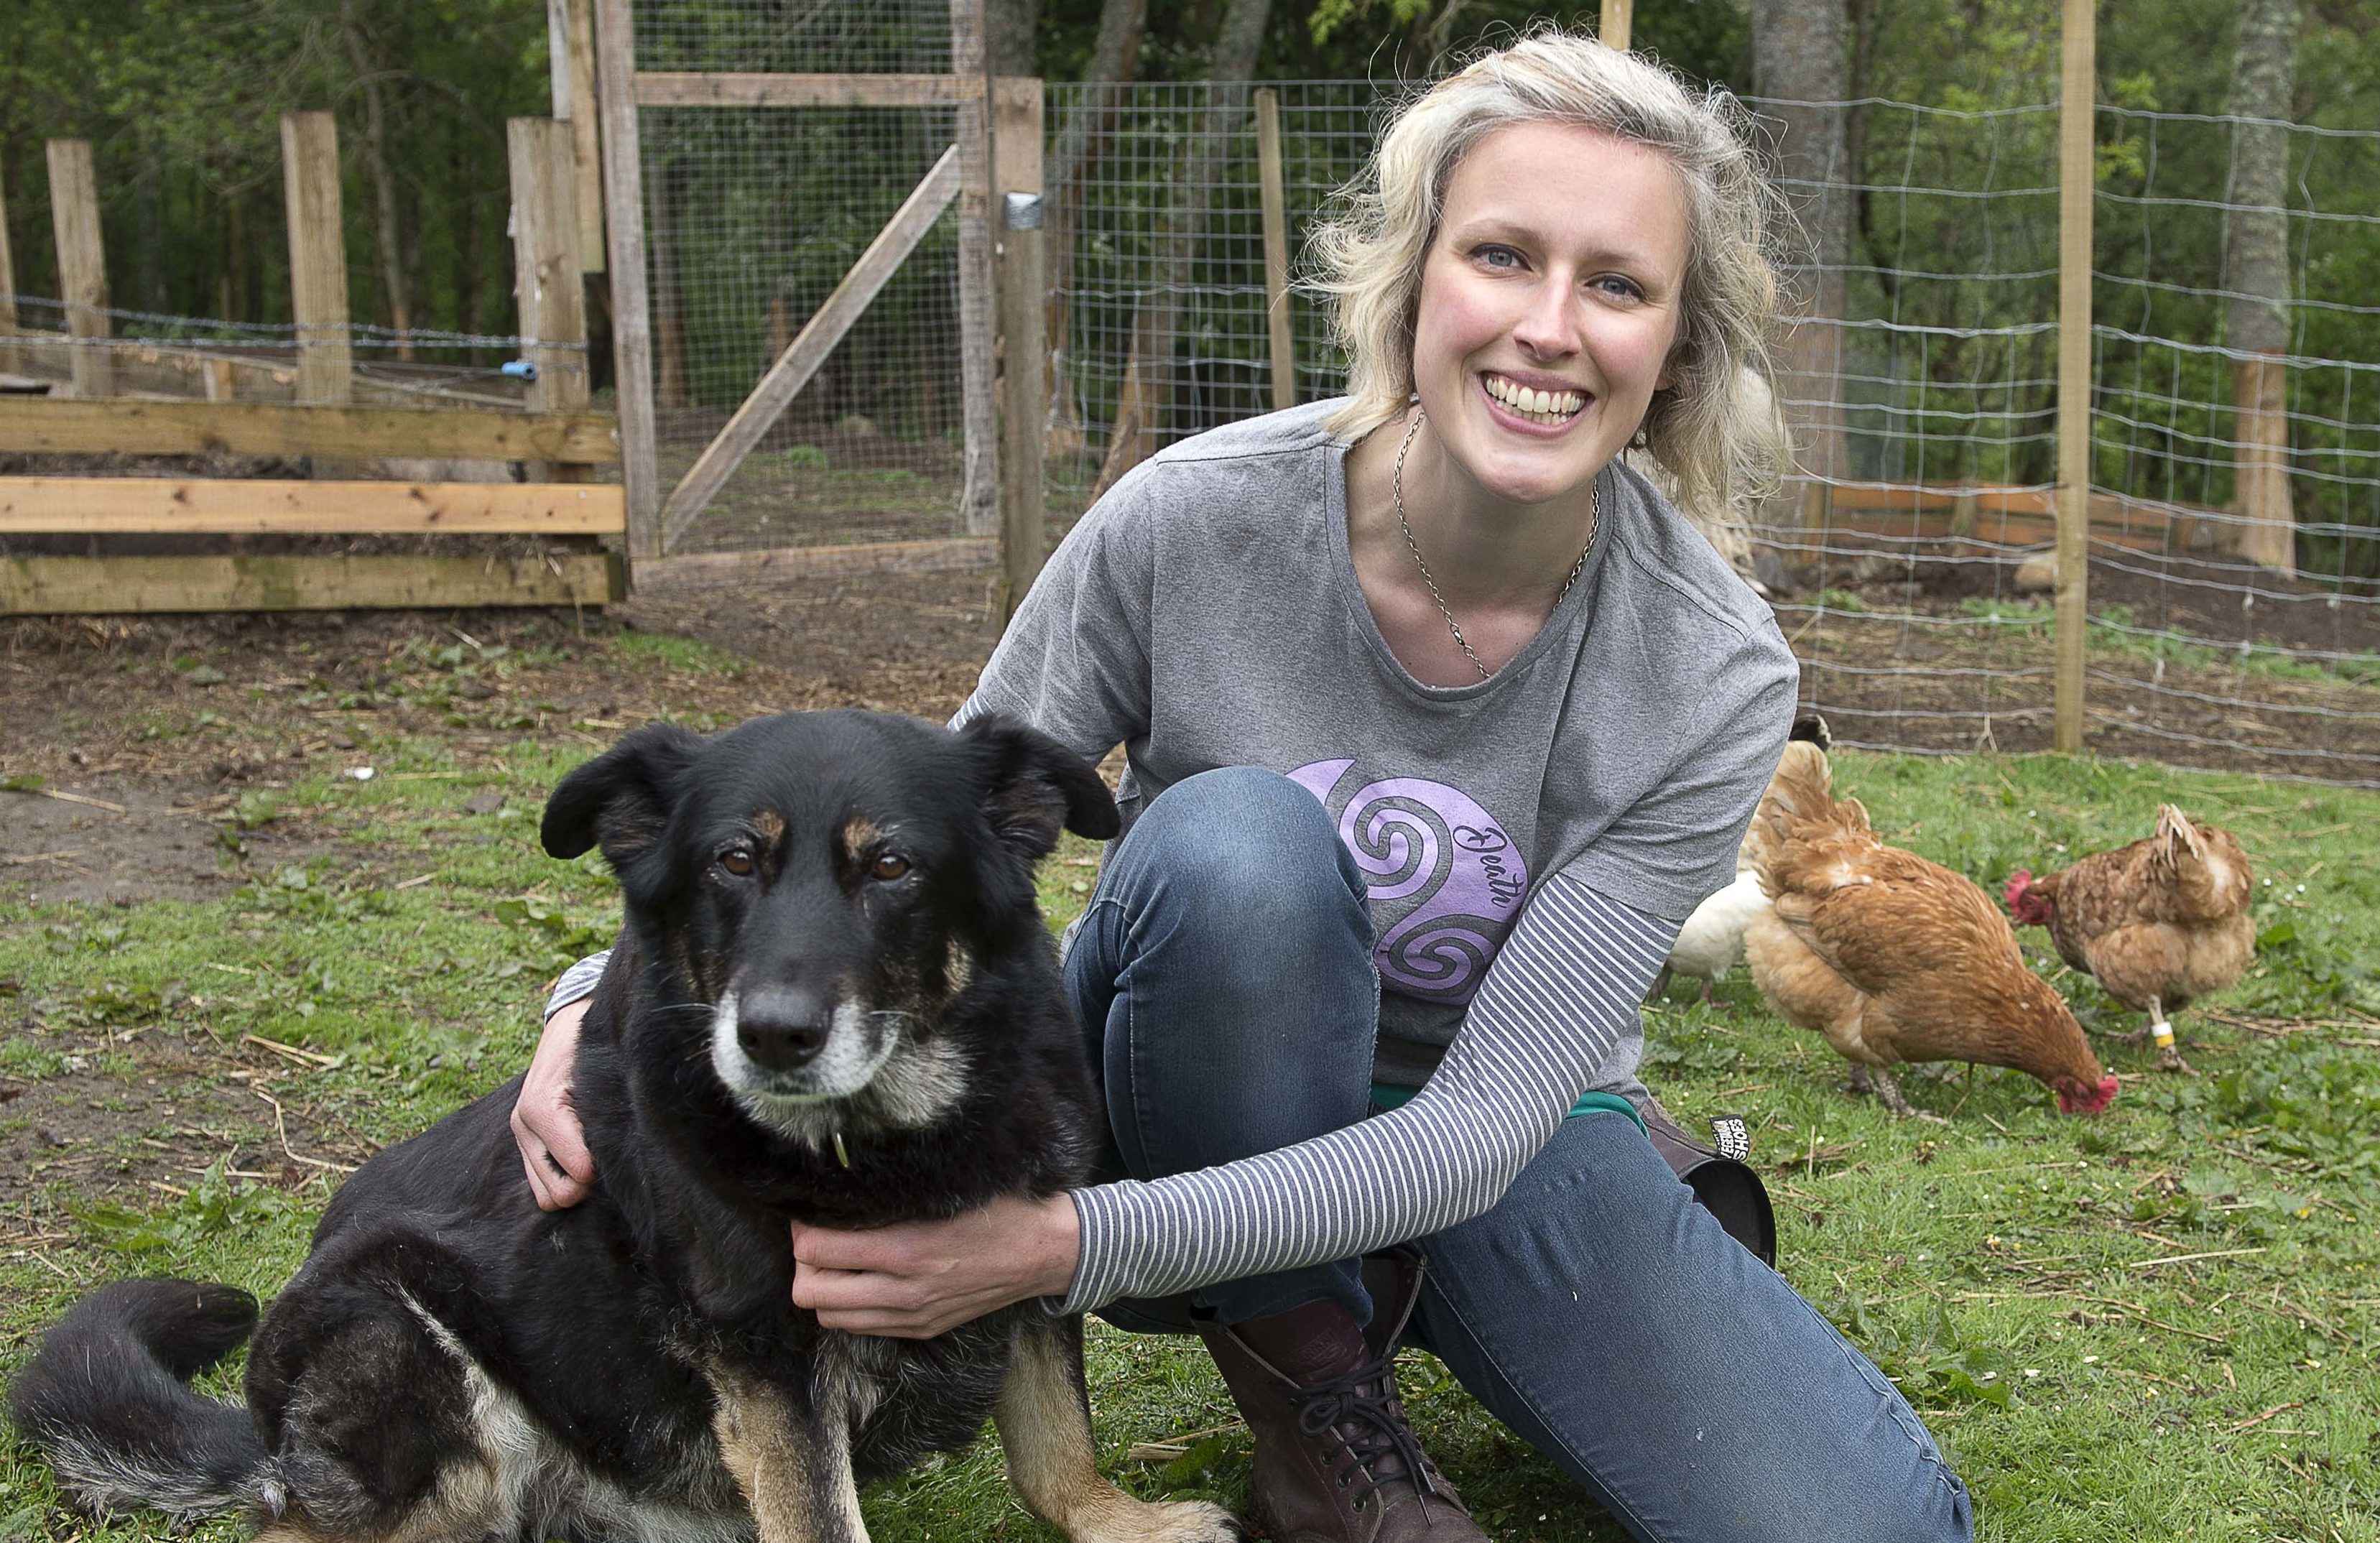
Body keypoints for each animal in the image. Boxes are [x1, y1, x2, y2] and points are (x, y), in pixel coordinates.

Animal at [18, 709, 1237, 1543]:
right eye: (733, 860)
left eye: (891, 864)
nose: (774, 1036)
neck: (878, 1135)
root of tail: (267, 1434)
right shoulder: (766, 1357)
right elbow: (825, 1514)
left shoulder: (1025, 1261)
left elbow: (1055, 1441)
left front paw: (1119, 1520)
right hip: (409, 1345)